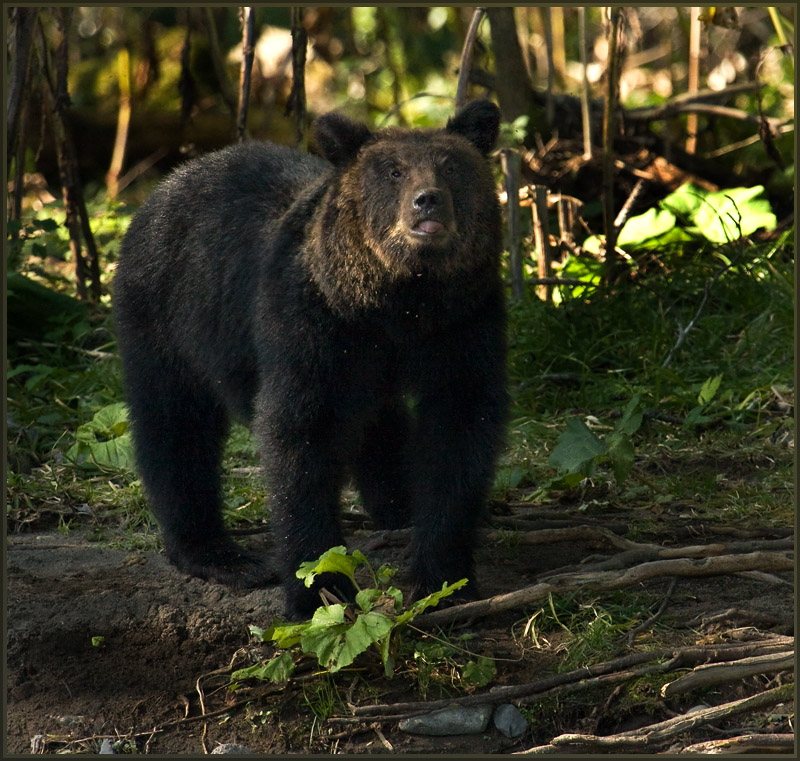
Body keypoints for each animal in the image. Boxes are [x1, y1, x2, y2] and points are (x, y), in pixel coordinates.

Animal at [114, 98, 506, 616]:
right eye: (393, 171)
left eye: (452, 166)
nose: (428, 201)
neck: (399, 301)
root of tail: (166, 185)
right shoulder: (311, 320)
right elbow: (301, 433)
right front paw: (320, 589)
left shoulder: (463, 320)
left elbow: (460, 429)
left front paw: (441, 575)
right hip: (167, 316)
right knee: (176, 428)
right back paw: (217, 552)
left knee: (377, 418)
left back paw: (397, 504)